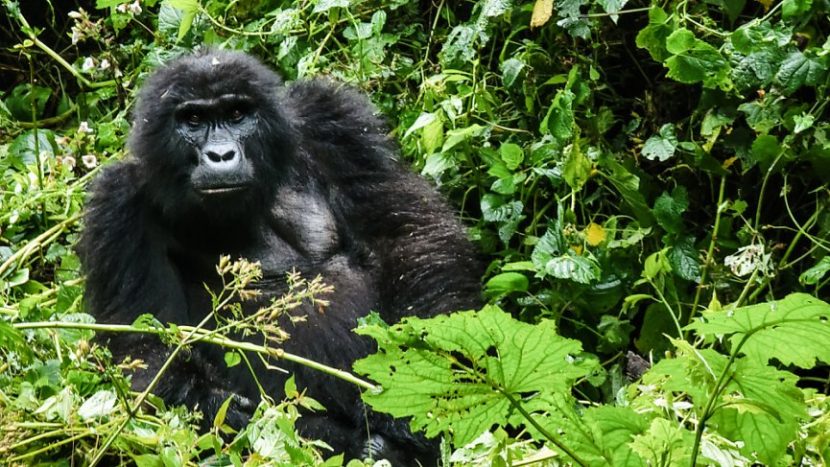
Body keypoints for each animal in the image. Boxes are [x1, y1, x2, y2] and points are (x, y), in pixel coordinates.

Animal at [79, 49, 480, 466]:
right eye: (193, 120)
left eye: (238, 113)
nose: (220, 154)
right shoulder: (117, 206)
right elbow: (143, 352)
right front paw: (220, 407)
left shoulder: (332, 121)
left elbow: (408, 235)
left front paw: (414, 375)